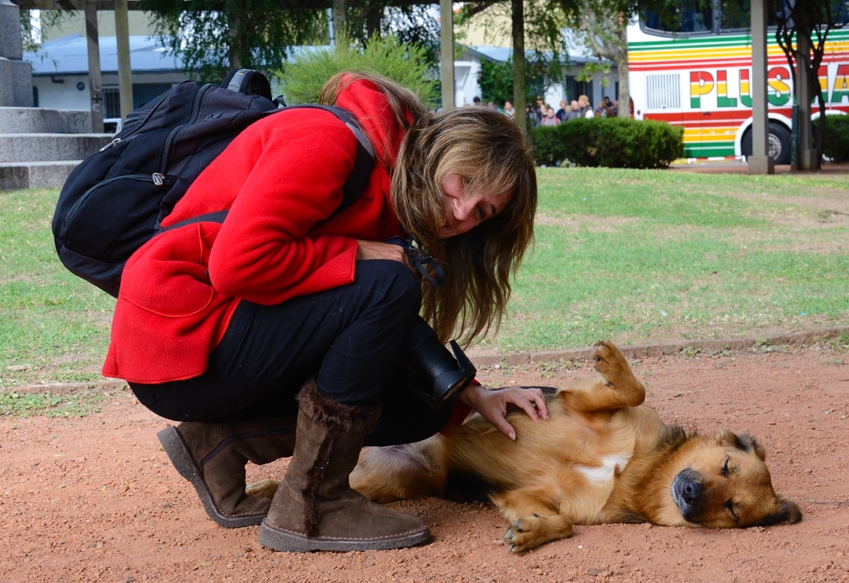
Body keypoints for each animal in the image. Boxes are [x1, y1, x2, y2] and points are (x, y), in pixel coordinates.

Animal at [247, 340, 800, 548]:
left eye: (732, 509)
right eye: (726, 465)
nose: (689, 495)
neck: (641, 469)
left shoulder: (531, 496)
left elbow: (559, 522)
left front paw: (532, 533)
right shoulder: (581, 407)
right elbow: (631, 389)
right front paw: (614, 361)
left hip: (382, 481)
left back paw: (264, 498)